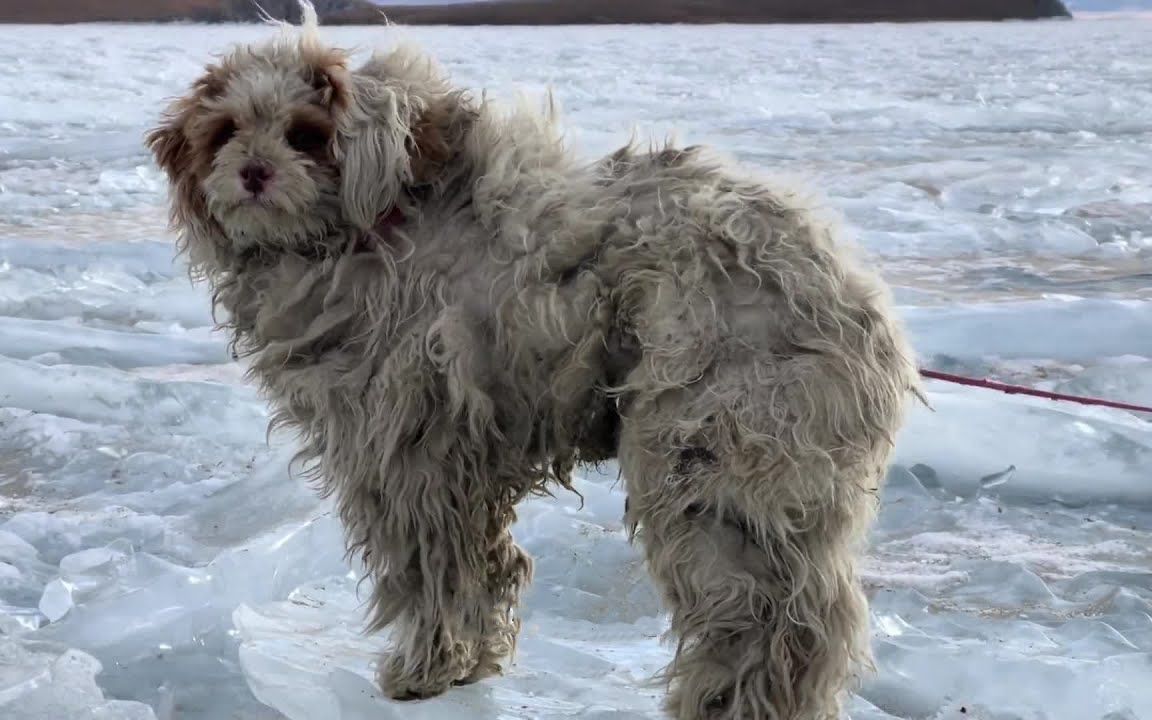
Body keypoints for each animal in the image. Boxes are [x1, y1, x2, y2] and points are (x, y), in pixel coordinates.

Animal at [146, 7, 916, 718]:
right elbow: (483, 565)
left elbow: (430, 568)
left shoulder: (407, 448)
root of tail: (847, 290)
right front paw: (470, 662)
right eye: (225, 131)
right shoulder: (462, 454)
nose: (252, 172)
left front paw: (424, 668)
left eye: (306, 134)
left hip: (719, 453)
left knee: (769, 614)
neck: (368, 233)